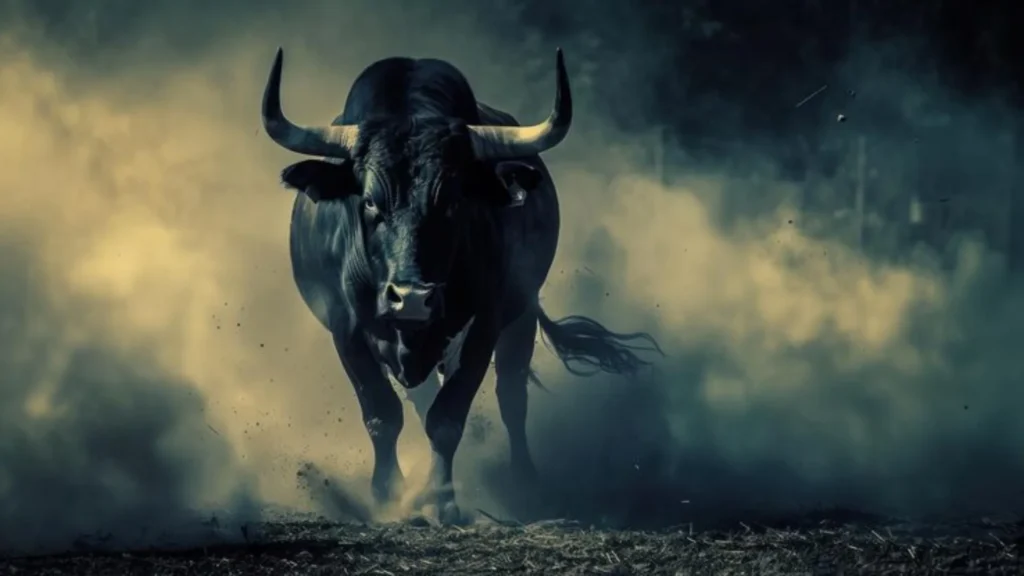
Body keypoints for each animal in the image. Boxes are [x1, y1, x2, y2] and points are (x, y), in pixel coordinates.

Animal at [260, 47, 661, 524]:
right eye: (371, 201)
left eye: (452, 200)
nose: (412, 299)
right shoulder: (347, 329)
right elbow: (382, 414)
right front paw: (387, 495)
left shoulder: (484, 326)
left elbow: (448, 417)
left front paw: (442, 500)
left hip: (522, 314)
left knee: (512, 396)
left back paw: (525, 483)